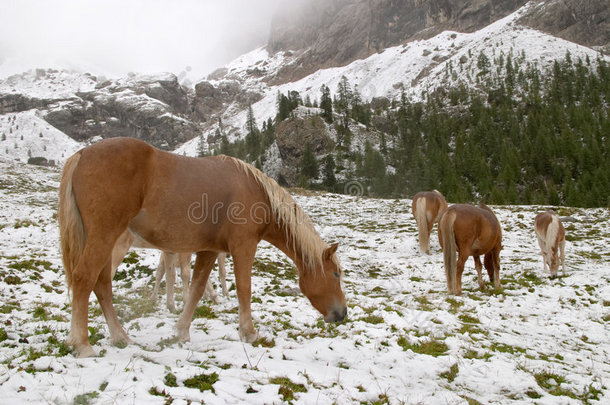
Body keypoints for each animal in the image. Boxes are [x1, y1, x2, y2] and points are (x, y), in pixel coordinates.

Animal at [58, 138, 344, 356]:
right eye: (336, 274)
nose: (342, 313)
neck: (257, 192)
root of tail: (81, 154)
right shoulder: (243, 247)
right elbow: (244, 289)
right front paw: (249, 333)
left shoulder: (209, 250)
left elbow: (196, 289)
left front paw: (182, 332)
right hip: (104, 237)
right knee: (85, 279)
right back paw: (82, 344)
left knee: (102, 284)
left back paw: (120, 337)